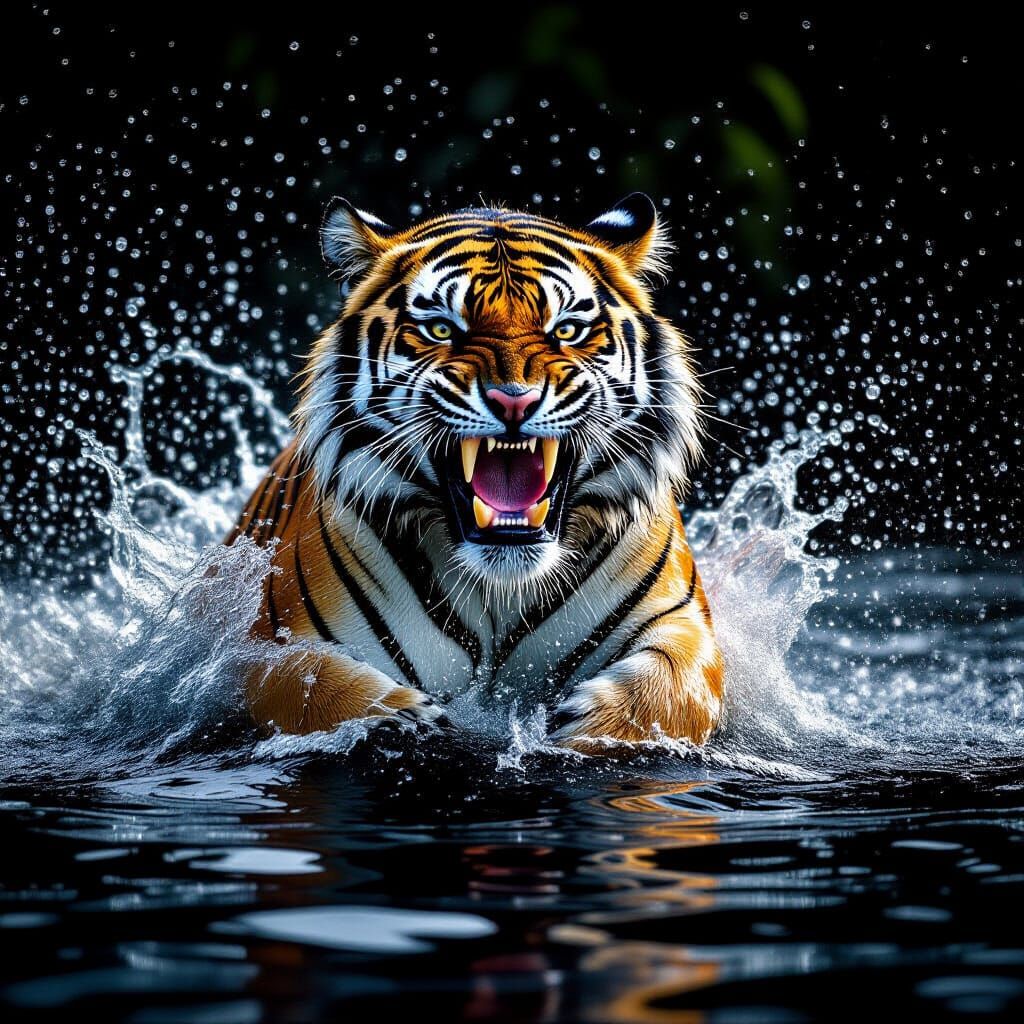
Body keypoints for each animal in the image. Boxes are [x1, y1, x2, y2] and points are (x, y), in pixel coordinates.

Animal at [227, 192, 724, 748]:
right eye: (442, 329)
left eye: (567, 330)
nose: (514, 400)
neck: (499, 589)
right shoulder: (271, 647)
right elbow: (313, 688)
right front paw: (406, 718)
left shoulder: (684, 624)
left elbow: (670, 691)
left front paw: (587, 727)